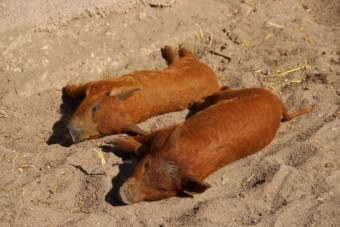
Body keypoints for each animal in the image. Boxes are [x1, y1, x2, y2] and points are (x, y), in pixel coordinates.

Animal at [63, 45, 220, 143]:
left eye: (103, 133)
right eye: (94, 108)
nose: (72, 135)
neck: (131, 106)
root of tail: (213, 77)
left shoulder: (97, 84)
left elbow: (79, 89)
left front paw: (66, 87)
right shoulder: (99, 84)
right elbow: (79, 89)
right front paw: (65, 87)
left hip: (184, 64)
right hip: (182, 65)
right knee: (185, 55)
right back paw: (172, 46)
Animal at [111, 87, 314, 204]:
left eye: (163, 189)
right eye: (146, 166)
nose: (125, 196)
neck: (185, 159)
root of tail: (278, 102)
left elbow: (140, 146)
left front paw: (113, 143)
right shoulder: (163, 133)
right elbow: (144, 140)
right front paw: (112, 143)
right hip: (238, 92)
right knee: (221, 91)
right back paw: (196, 101)